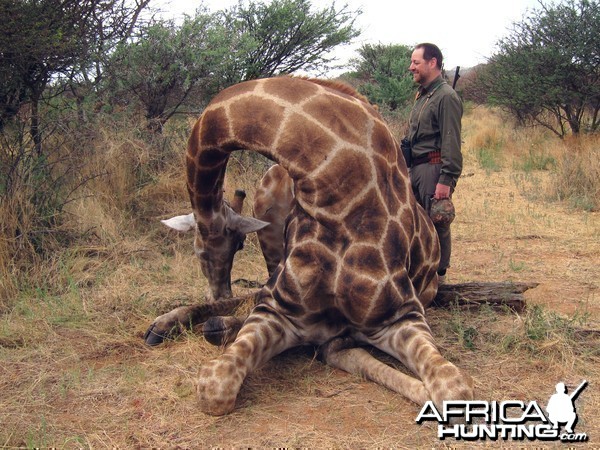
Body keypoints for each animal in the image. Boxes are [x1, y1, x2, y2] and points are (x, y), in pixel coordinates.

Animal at [146, 76, 474, 414]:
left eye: (237, 245)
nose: (217, 290)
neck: (335, 191)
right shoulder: (279, 311)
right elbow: (215, 387)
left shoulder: (402, 315)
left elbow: (455, 387)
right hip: (268, 208)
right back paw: (165, 326)